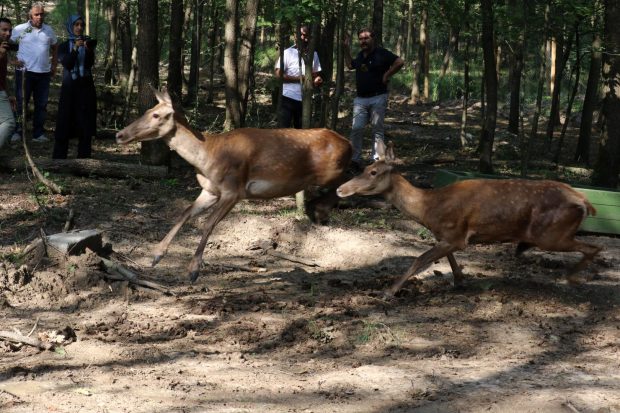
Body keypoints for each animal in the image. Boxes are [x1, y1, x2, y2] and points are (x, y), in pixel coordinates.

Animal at [114, 89, 352, 284]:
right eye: (148, 110)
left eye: (156, 115)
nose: (119, 134)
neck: (207, 157)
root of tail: (346, 142)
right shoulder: (211, 190)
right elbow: (185, 213)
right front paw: (156, 255)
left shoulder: (234, 190)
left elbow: (208, 223)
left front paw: (193, 271)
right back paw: (319, 210)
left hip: (331, 171)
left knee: (350, 176)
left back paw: (319, 209)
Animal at [336, 141, 604, 296]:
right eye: (363, 169)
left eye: (373, 172)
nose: (340, 189)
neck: (428, 208)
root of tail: (584, 202)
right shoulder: (448, 236)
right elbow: (447, 259)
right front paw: (460, 280)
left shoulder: (455, 234)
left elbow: (419, 259)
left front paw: (389, 291)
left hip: (550, 234)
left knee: (595, 246)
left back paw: (571, 278)